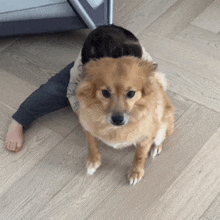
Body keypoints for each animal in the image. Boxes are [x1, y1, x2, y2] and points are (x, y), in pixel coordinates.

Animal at [75, 24, 174, 186]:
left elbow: (139, 156)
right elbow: (92, 145)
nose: (117, 119)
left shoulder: (145, 138)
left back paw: (156, 147)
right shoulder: (87, 126)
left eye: (131, 93)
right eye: (105, 93)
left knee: (161, 137)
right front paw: (93, 162)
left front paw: (136, 173)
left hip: (162, 129)